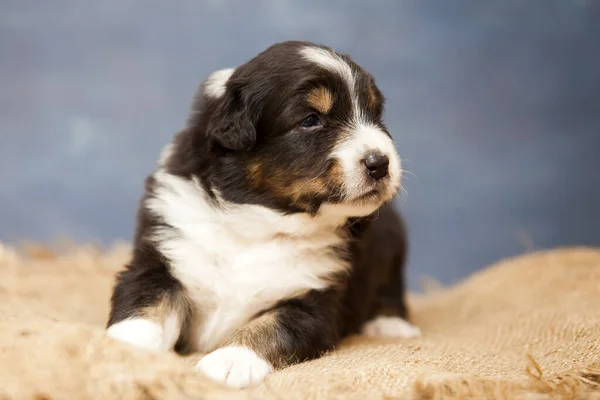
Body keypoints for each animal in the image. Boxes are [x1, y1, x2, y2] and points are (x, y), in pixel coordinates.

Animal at [105, 39, 420, 388]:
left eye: (375, 114)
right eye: (311, 119)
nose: (381, 163)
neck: (256, 225)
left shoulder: (317, 302)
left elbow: (270, 326)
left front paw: (229, 361)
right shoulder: (162, 258)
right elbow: (145, 306)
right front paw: (122, 351)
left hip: (391, 238)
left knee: (390, 286)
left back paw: (390, 325)